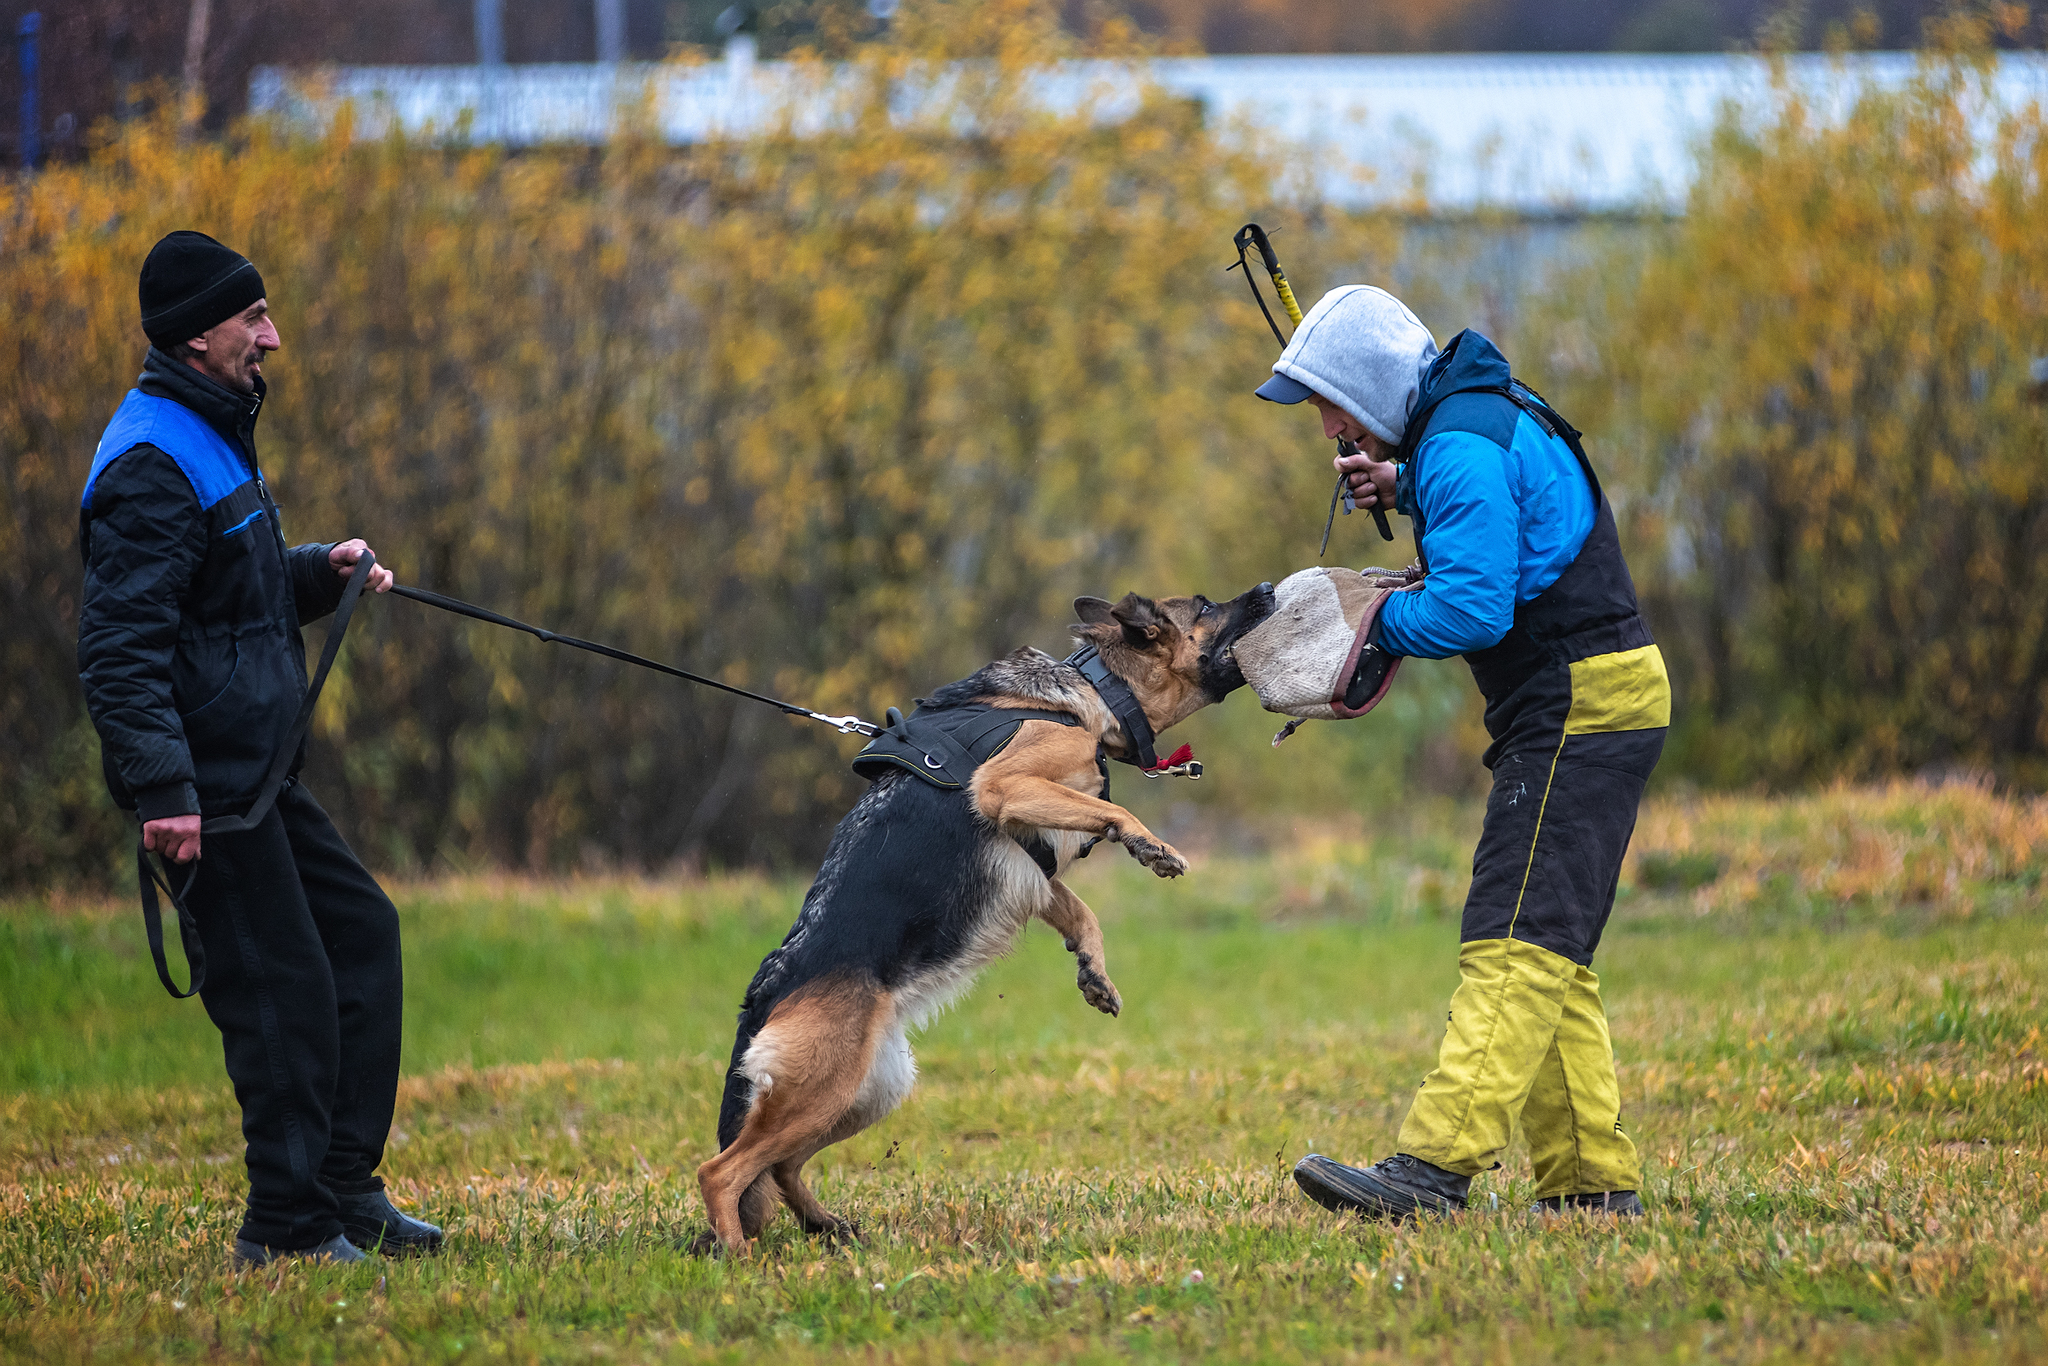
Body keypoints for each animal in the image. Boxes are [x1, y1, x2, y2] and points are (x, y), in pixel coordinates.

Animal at [704, 581, 1277, 1253]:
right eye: (1207, 606)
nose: (1268, 588)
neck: (1097, 686)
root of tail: (766, 990)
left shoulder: (1033, 867)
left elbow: (1081, 912)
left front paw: (1094, 972)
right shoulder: (1005, 787)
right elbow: (1115, 815)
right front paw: (1149, 845)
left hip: (866, 1090)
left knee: (780, 1165)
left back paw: (828, 1227)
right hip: (823, 1089)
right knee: (722, 1171)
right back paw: (737, 1256)